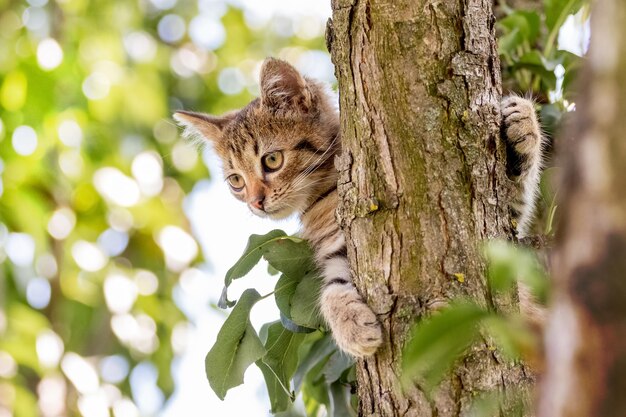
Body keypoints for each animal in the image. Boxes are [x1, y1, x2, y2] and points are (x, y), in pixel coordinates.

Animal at [173, 57, 544, 358]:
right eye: (236, 180)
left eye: (272, 160)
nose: (255, 202)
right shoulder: (337, 243)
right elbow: (332, 284)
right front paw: (350, 324)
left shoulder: (503, 227)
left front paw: (523, 122)